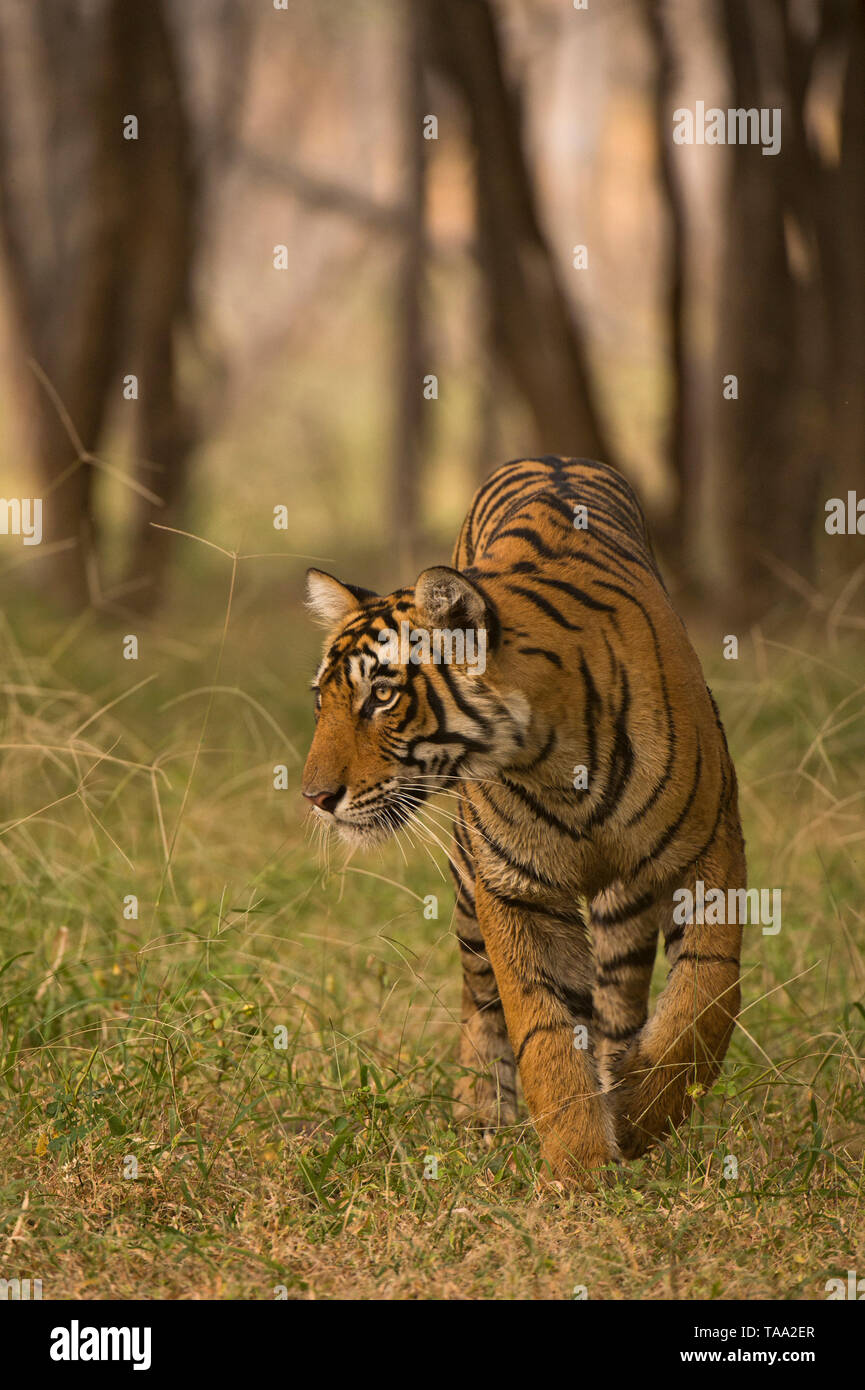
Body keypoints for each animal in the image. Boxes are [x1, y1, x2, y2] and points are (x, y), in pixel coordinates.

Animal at [301, 455, 750, 1184]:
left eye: (383, 695)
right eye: (323, 699)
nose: (314, 797)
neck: (552, 760)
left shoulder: (707, 849)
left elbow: (703, 999)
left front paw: (640, 1114)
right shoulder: (515, 889)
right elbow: (543, 1028)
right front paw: (581, 1169)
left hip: (625, 901)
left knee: (621, 998)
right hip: (468, 882)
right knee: (481, 999)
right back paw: (482, 1117)